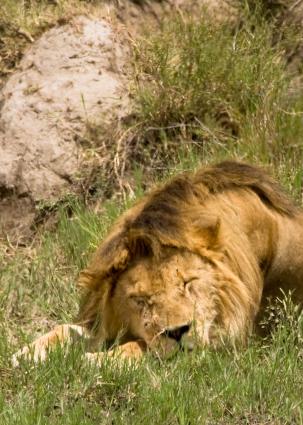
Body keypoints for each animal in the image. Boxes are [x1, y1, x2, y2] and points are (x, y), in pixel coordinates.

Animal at [11, 161, 303, 366]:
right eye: (140, 300)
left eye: (187, 283)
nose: (176, 333)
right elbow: (65, 329)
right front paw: (28, 354)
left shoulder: (225, 344)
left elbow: (140, 347)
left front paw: (97, 361)